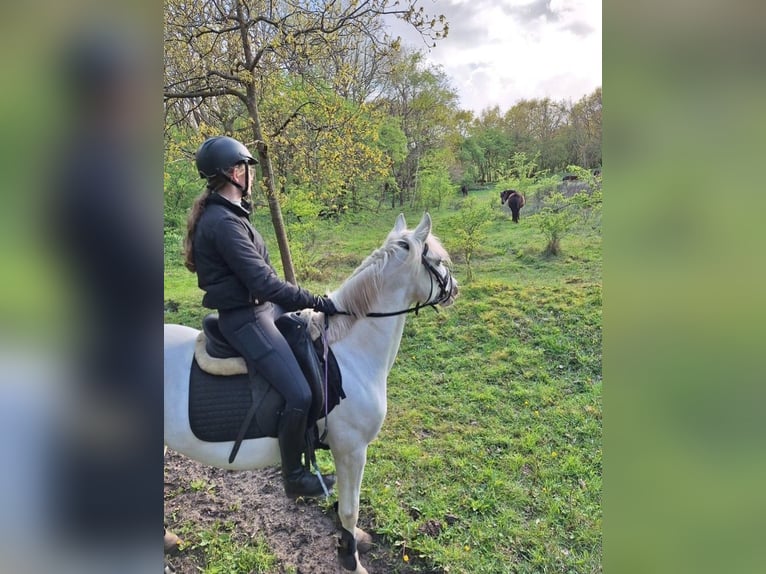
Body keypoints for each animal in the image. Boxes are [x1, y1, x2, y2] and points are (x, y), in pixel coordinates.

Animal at [164, 214, 456, 572]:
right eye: (439, 261)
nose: (454, 289)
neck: (347, 354)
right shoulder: (352, 450)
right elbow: (350, 508)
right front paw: (350, 558)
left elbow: (345, 506)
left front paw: (351, 540)